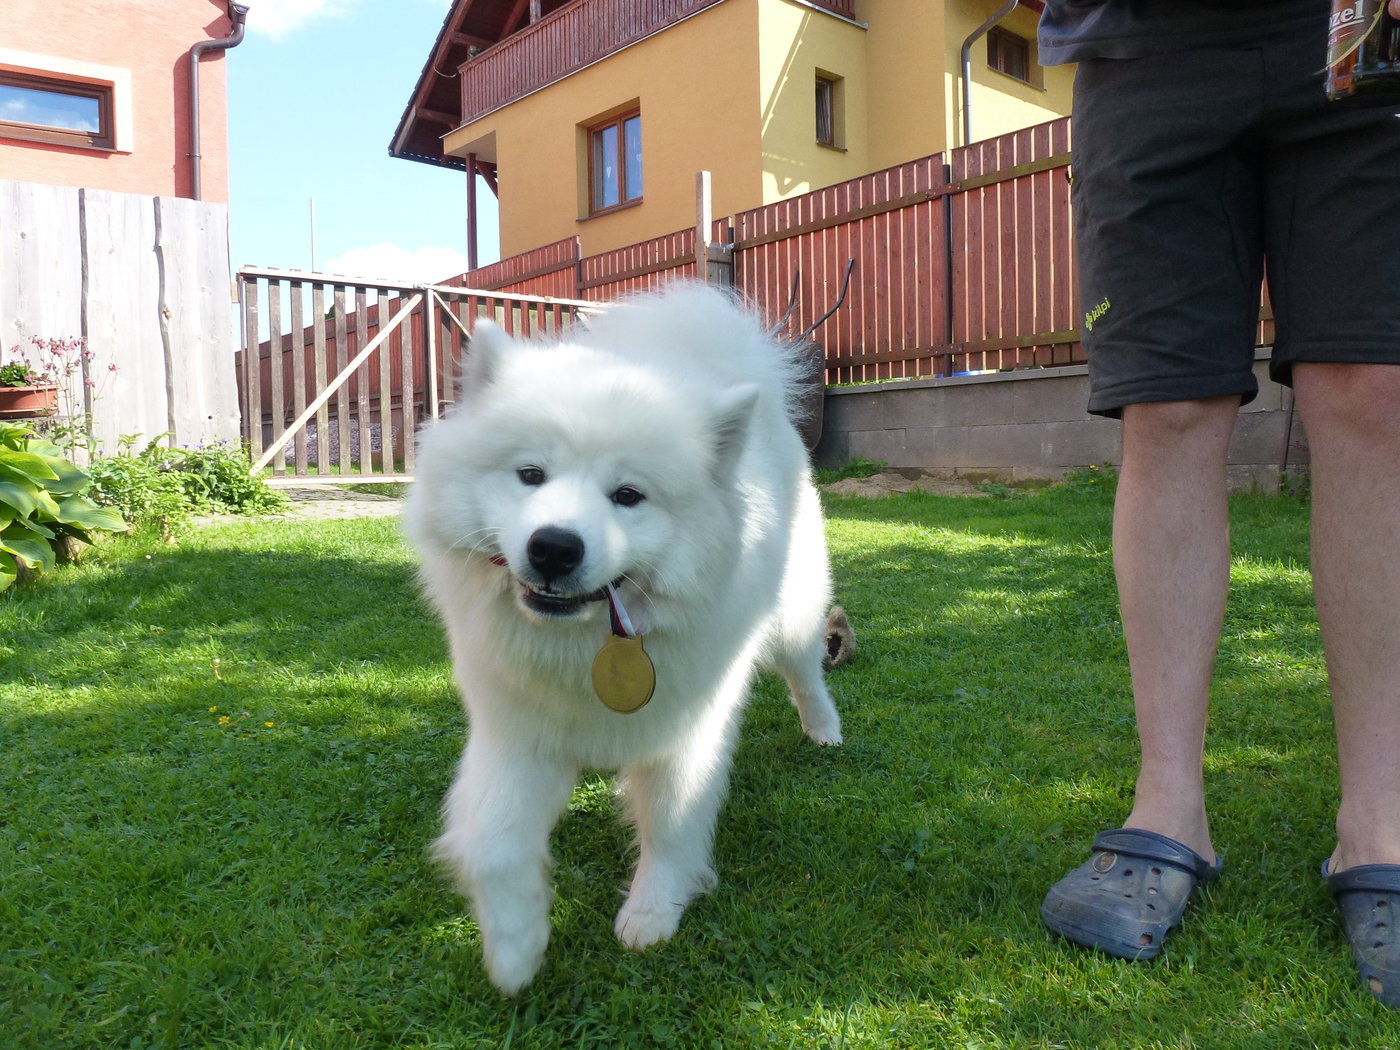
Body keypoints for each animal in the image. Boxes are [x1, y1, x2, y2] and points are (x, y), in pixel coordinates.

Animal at [403, 283, 844, 994]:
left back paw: (824, 729)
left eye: (628, 495)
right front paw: (516, 947)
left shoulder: (685, 733)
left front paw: (651, 912)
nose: (554, 546)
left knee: (807, 672)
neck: (590, 641)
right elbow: (496, 843)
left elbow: (670, 824)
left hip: (792, 619)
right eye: (531, 474)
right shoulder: (515, 735)